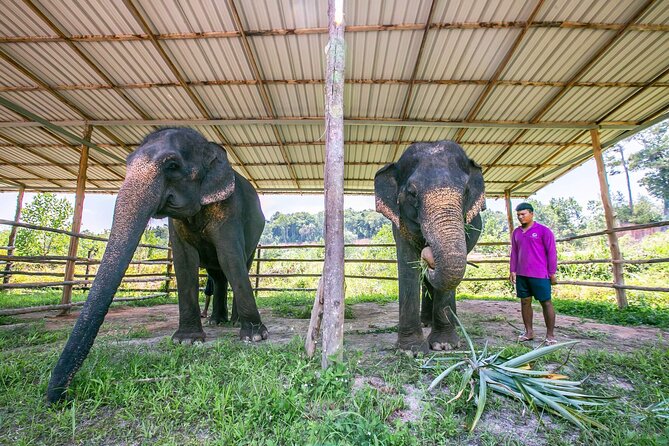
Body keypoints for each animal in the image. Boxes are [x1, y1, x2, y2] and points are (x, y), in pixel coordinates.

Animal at [46, 127, 266, 402]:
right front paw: (187, 341)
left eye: (172, 165)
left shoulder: (230, 209)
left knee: (238, 265)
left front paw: (255, 337)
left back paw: (235, 322)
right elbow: (184, 261)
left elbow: (230, 257)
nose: (59, 396)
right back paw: (217, 322)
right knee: (217, 275)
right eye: (127, 163)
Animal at [370, 139, 486, 352]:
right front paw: (411, 350)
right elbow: (408, 265)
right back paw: (426, 322)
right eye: (412, 193)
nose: (428, 254)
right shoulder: (400, 223)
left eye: (466, 191)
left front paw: (444, 345)